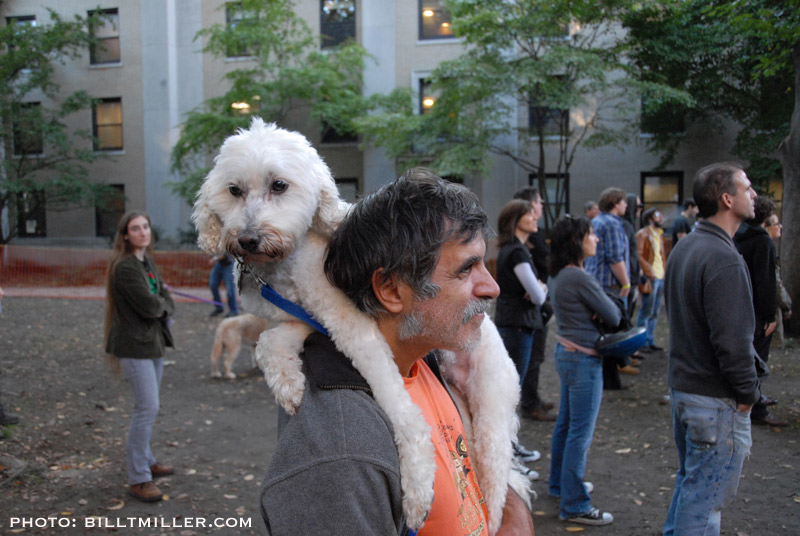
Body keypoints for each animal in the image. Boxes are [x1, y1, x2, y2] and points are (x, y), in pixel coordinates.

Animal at [193, 117, 528, 532]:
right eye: (234, 190)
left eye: (279, 185)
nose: (248, 239)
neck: (285, 266)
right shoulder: (303, 320)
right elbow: (270, 341)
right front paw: (288, 384)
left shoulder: (357, 331)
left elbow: (404, 413)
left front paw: (418, 490)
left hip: (492, 416)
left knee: (495, 494)